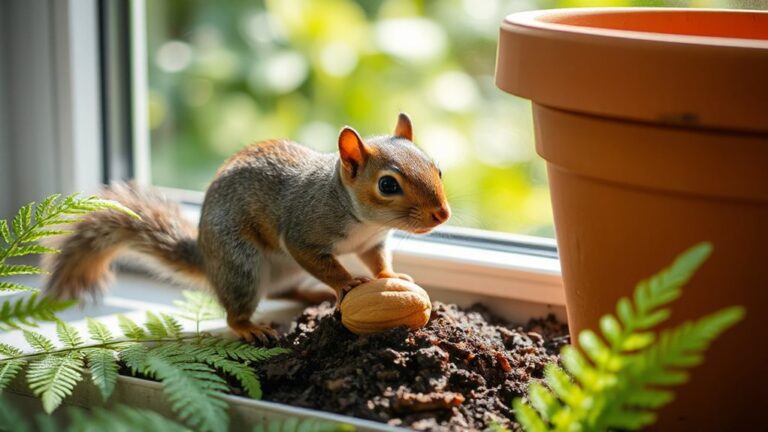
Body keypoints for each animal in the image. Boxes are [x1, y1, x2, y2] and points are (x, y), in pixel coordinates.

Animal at [45, 113, 450, 342]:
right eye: (388, 185)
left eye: (438, 169)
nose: (442, 214)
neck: (358, 217)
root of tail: (208, 259)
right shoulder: (303, 231)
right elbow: (320, 260)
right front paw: (346, 283)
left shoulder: (372, 242)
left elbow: (378, 261)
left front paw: (393, 277)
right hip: (241, 265)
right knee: (236, 310)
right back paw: (250, 327)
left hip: (282, 272)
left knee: (284, 292)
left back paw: (313, 296)